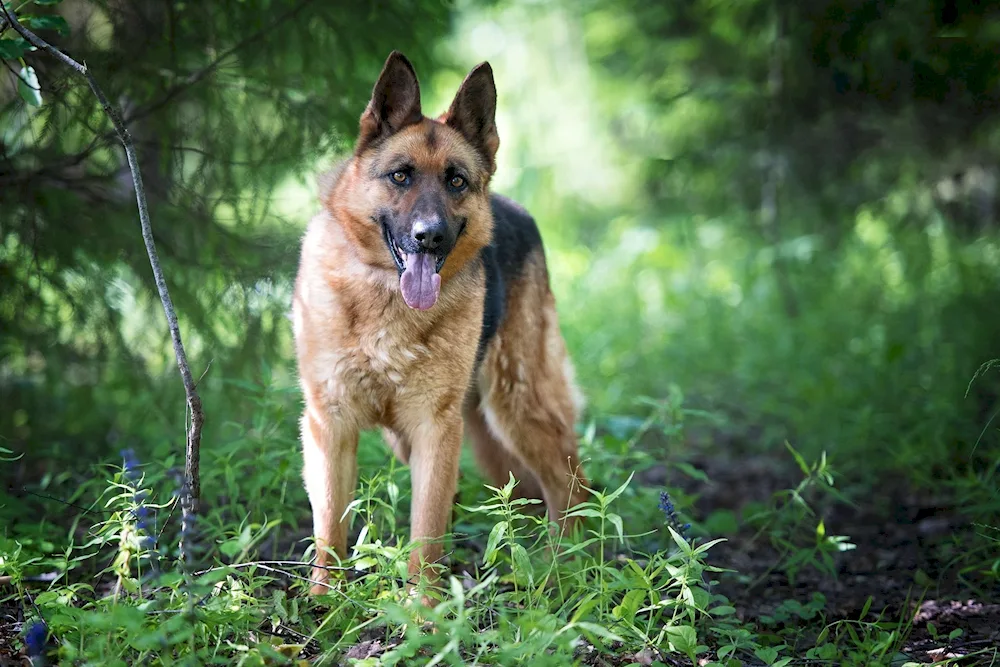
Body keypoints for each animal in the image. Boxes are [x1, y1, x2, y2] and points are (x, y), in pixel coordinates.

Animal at [292, 51, 584, 596]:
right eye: (400, 176)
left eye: (456, 181)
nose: (429, 237)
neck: (386, 297)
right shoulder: (330, 425)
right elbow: (330, 528)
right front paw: (324, 602)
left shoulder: (434, 427)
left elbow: (425, 530)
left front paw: (422, 608)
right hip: (459, 432)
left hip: (517, 406)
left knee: (570, 485)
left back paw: (565, 570)